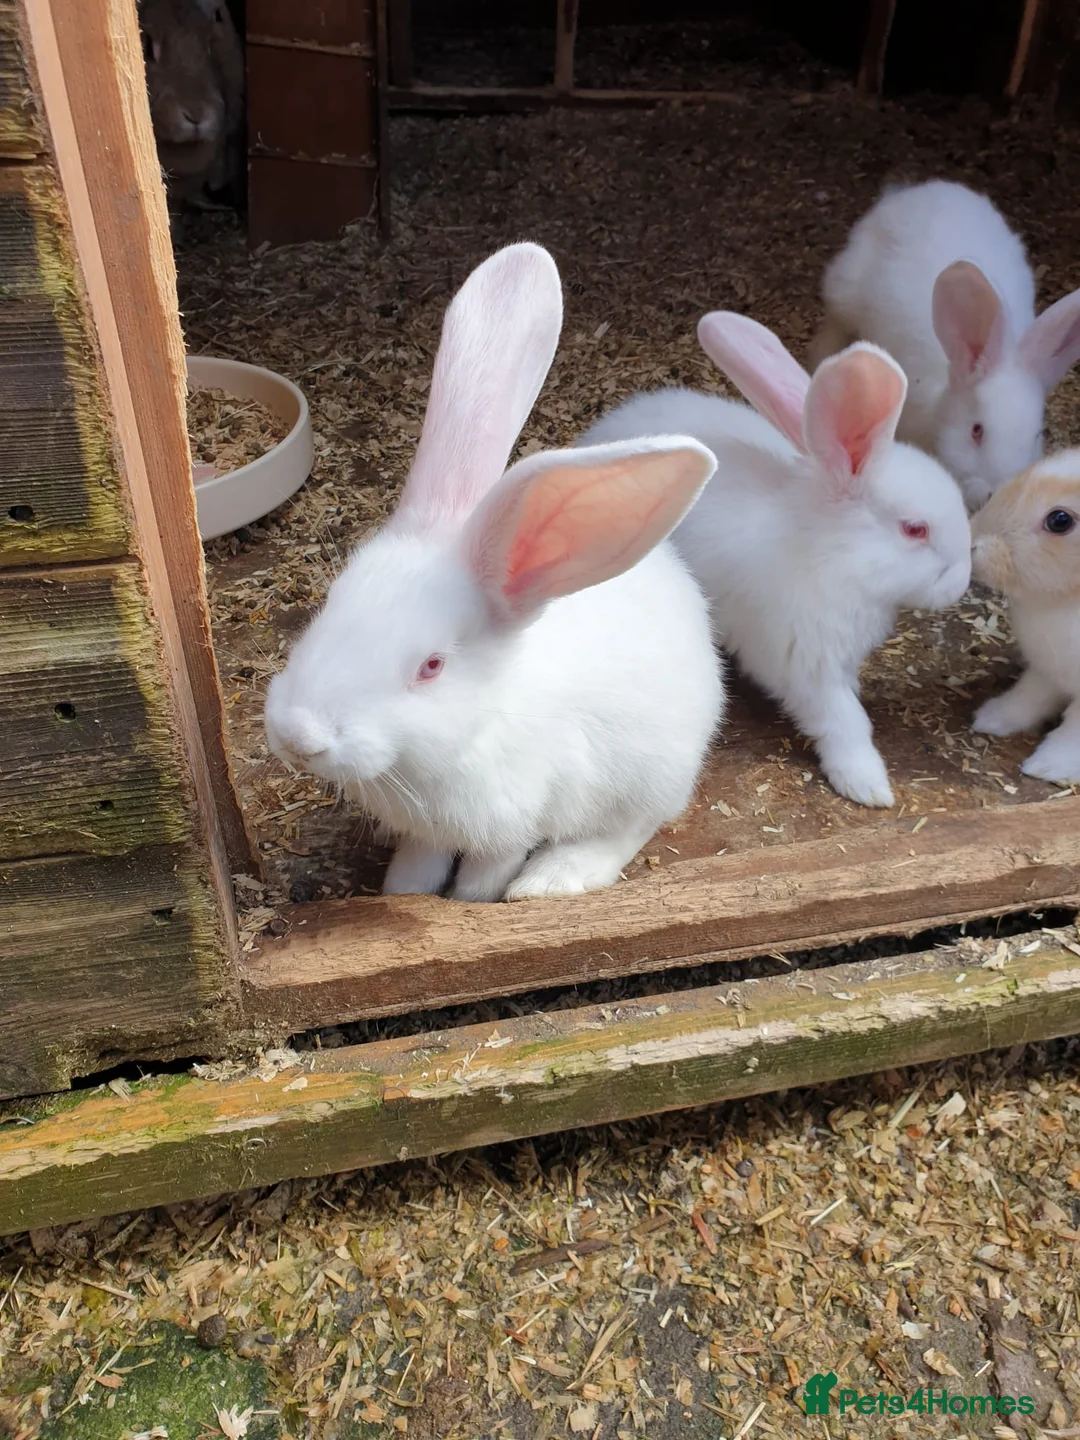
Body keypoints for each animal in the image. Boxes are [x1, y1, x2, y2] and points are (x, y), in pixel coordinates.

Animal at [264, 243, 725, 903]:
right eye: (330, 603)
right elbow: (419, 861)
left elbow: (486, 875)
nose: (296, 737)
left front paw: (467, 903)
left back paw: (553, 879)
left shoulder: (513, 821)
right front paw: (403, 893)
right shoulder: (425, 831)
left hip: (649, 771)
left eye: (432, 666)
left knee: (629, 828)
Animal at [582, 312, 972, 809]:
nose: (962, 581)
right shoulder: (807, 667)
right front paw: (868, 785)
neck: (831, 553)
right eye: (915, 529)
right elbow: (846, 723)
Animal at [971, 449, 1080, 784]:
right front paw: (991, 717)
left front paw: (1047, 765)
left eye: (1060, 520)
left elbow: (1074, 729)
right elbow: (1029, 695)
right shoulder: (1046, 670)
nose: (974, 544)